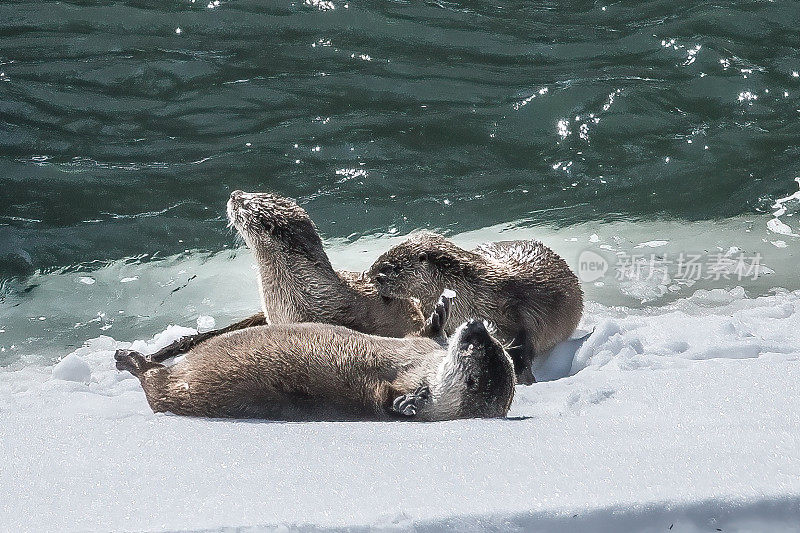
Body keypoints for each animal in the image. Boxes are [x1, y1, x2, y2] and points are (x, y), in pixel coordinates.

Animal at [115, 316, 516, 420]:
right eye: (494, 345)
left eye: (477, 350)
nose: (477, 328)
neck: (416, 368)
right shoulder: (417, 345)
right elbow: (419, 333)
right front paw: (437, 317)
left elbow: (380, 403)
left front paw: (407, 404)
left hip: (174, 390)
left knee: (154, 381)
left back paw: (130, 359)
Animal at [368, 231, 580, 384]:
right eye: (377, 261)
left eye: (388, 267)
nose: (370, 276)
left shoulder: (519, 312)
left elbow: (522, 346)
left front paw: (523, 378)